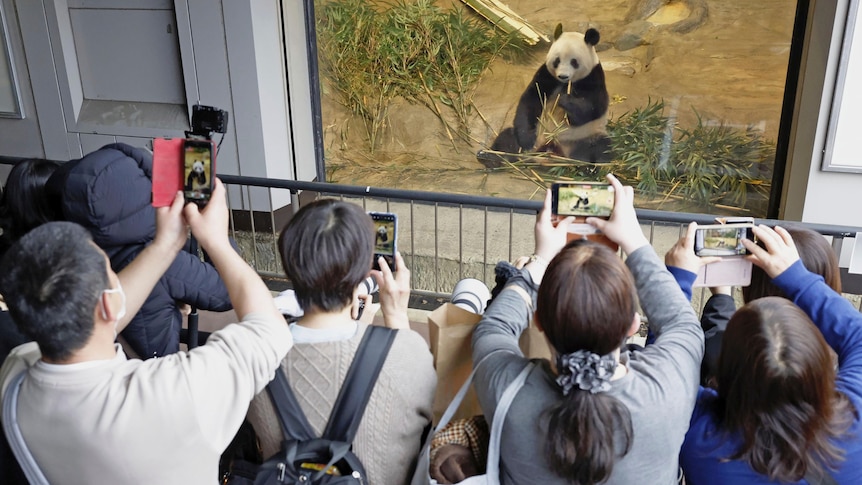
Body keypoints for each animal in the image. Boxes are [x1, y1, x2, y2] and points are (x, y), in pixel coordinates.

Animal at [492, 23, 616, 164]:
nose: (563, 76)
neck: (565, 83)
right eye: (557, 60)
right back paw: (494, 157)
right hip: (538, 137)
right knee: (507, 138)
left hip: (585, 135)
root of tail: (552, 147)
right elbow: (531, 99)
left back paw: (585, 164)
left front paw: (565, 100)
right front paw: (526, 140)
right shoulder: (546, 75)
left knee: (599, 147)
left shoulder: (593, 76)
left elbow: (593, 108)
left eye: (574, 62)